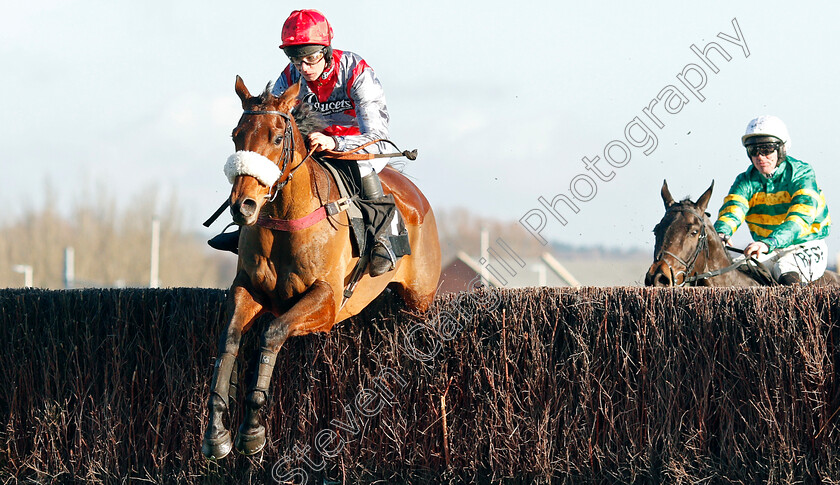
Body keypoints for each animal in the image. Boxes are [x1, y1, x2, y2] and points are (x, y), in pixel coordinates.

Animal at [201, 75, 442, 458]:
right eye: (236, 135)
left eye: (277, 137)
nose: (243, 206)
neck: (286, 219)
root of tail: (418, 196)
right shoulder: (247, 289)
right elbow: (229, 340)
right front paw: (216, 433)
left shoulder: (327, 302)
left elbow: (272, 334)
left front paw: (252, 429)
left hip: (420, 299)